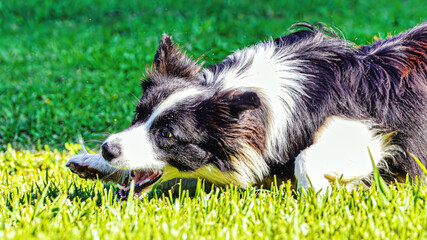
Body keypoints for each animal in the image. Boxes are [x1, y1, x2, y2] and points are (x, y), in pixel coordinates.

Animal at [67, 23, 427, 198]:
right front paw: (91, 162)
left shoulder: (375, 130)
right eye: (138, 116)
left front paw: (321, 193)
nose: (108, 149)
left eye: (167, 134)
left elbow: (307, 156)